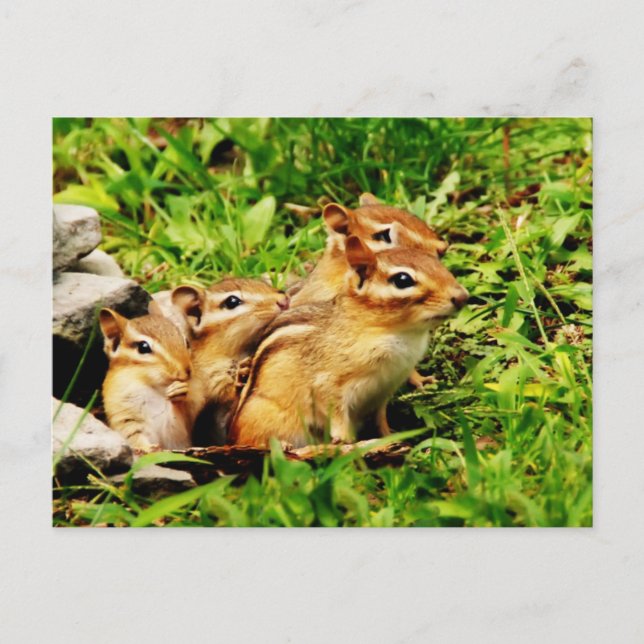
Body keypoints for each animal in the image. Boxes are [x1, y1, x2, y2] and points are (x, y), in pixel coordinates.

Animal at [99, 301, 193, 451]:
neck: (149, 384)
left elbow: (175, 426)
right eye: (143, 347)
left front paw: (180, 390)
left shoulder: (175, 434)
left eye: (187, 342)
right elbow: (134, 437)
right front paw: (147, 448)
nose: (186, 371)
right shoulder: (125, 417)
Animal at [229, 236, 468, 448]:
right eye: (403, 280)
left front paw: (391, 435)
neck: (399, 335)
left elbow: (380, 418)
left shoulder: (384, 390)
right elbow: (334, 408)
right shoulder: (328, 381)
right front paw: (345, 439)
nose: (463, 296)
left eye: (438, 264)